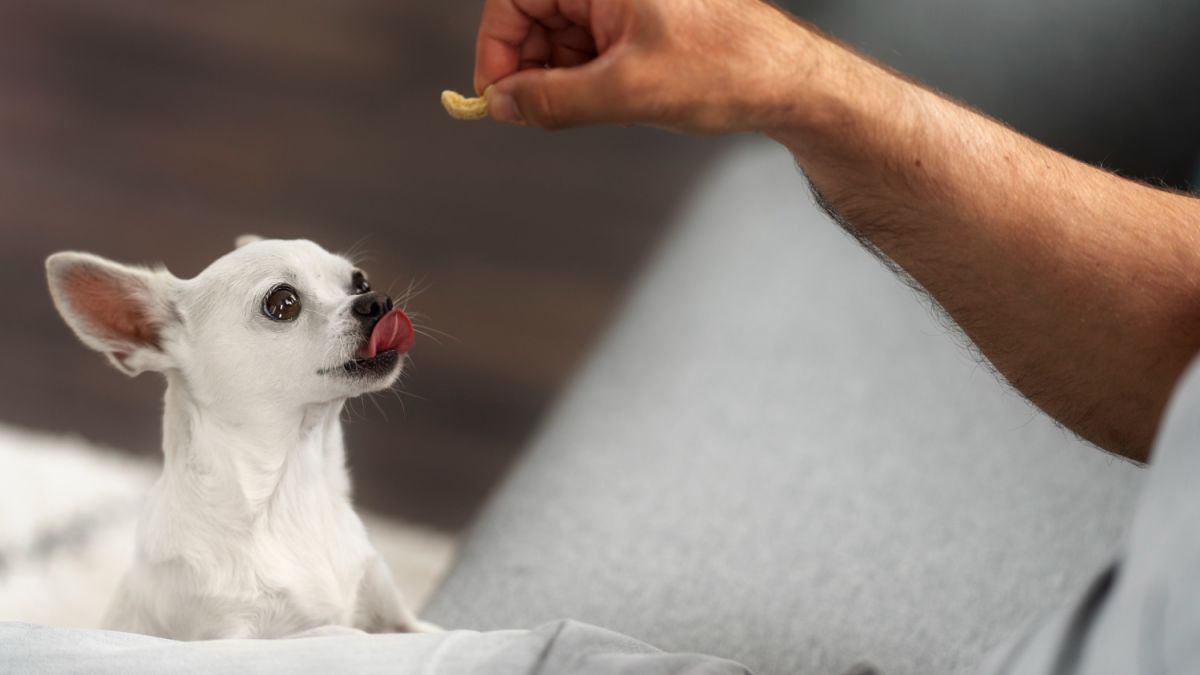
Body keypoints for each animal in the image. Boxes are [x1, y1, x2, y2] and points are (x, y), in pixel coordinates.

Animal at [48, 235, 441, 634]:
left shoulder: (399, 616)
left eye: (360, 281)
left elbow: (437, 631)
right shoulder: (231, 632)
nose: (377, 300)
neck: (293, 489)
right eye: (282, 304)